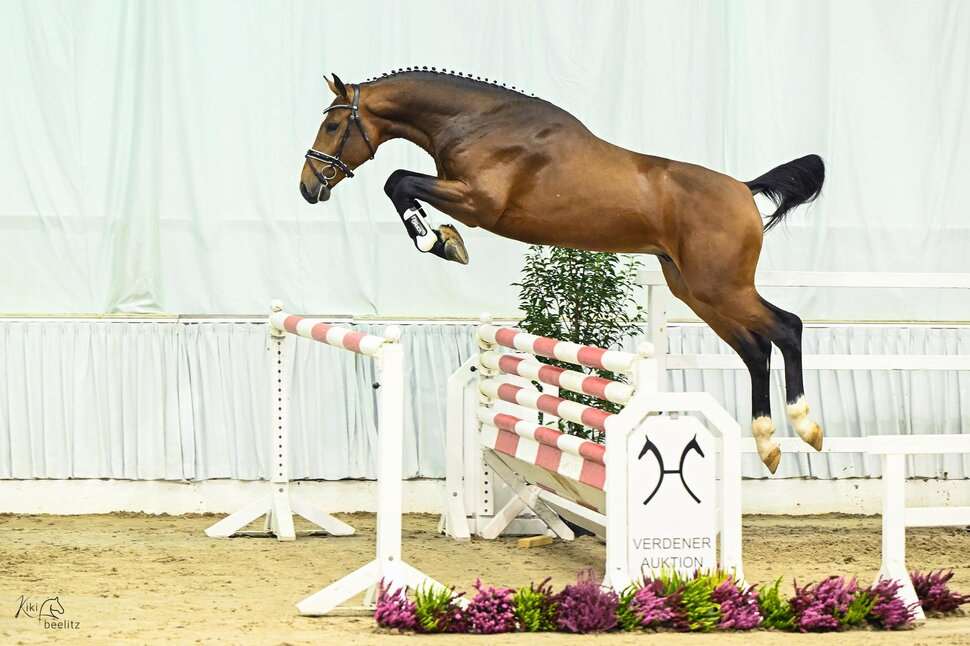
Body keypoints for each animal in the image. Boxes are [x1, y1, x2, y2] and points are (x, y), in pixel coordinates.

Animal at [299, 69, 825, 473]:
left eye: (333, 125)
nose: (308, 186)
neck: (476, 122)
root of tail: (743, 188)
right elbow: (400, 183)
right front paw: (443, 239)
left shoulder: (477, 202)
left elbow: (398, 181)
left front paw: (441, 242)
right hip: (695, 290)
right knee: (755, 349)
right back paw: (768, 443)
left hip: (722, 286)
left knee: (787, 327)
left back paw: (805, 425)